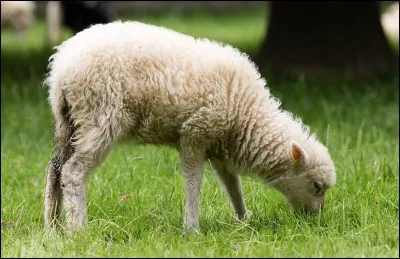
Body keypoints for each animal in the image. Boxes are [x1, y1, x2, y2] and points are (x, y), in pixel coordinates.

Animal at [43, 21, 338, 235]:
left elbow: (232, 183)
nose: (316, 220)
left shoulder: (219, 145)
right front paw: (192, 228)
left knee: (55, 168)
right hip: (98, 116)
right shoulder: (195, 134)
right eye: (316, 186)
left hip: (69, 121)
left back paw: (52, 228)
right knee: (73, 172)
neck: (248, 116)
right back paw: (78, 229)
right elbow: (194, 180)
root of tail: (61, 67)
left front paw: (244, 220)